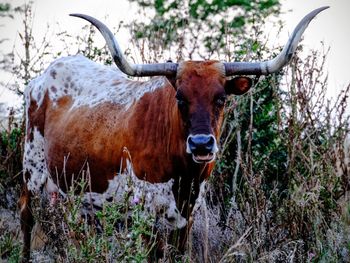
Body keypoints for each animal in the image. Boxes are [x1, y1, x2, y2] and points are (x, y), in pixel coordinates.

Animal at [19, 7, 328, 260]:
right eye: (180, 97)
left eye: (221, 98)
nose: (202, 144)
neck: (184, 172)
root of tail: (44, 76)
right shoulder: (145, 214)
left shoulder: (185, 217)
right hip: (31, 170)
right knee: (27, 217)